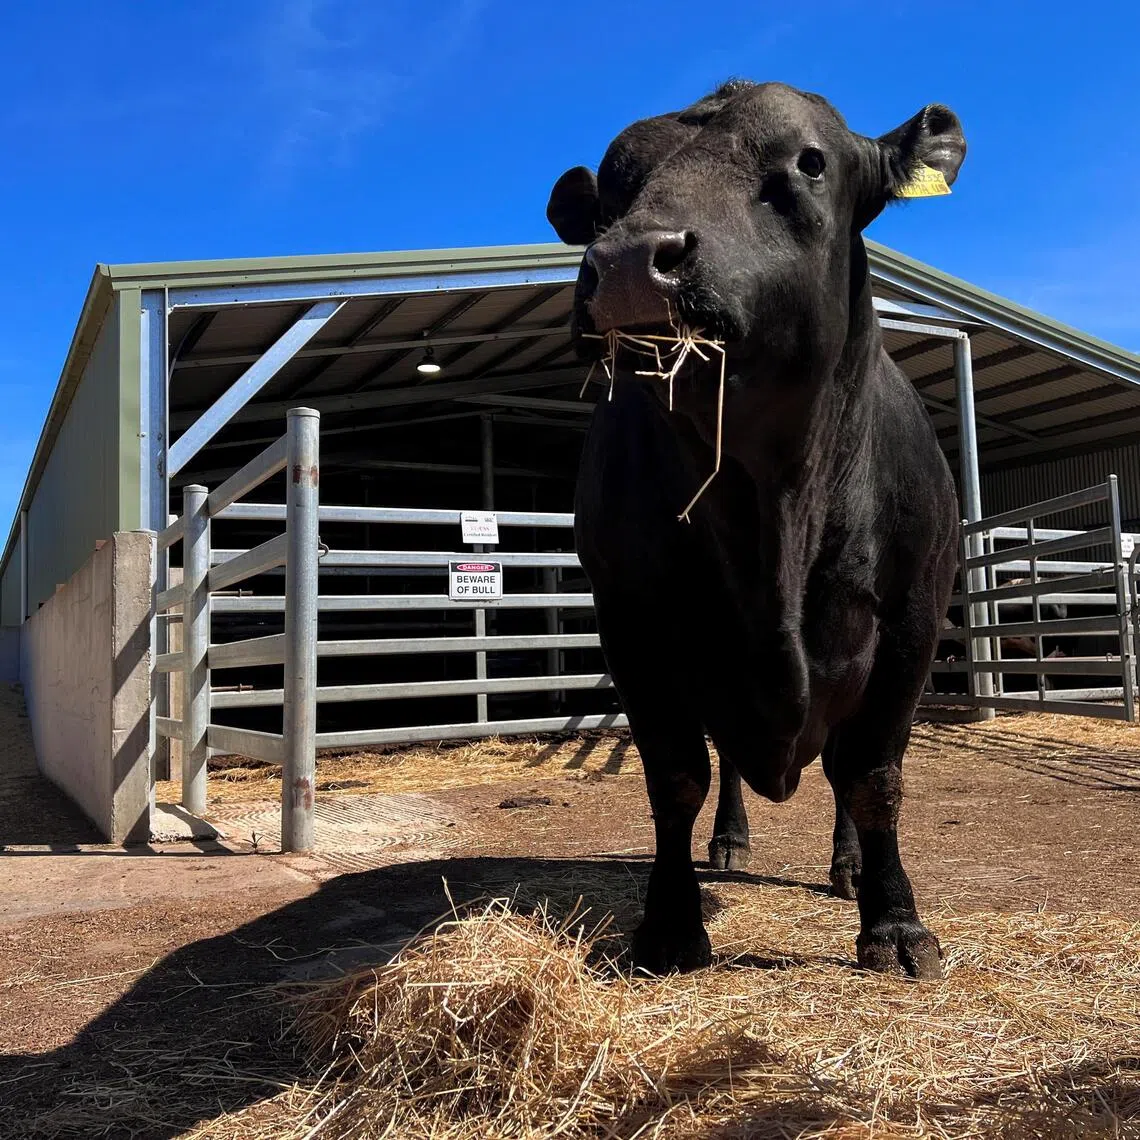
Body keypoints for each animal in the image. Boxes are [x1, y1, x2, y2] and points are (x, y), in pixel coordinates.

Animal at [547, 80, 966, 979]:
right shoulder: (631, 624)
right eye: (611, 191)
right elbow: (676, 776)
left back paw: (848, 869)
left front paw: (895, 923)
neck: (769, 508)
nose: (628, 261)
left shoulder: (914, 618)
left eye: (808, 162)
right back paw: (730, 844)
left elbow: (873, 776)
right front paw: (671, 924)